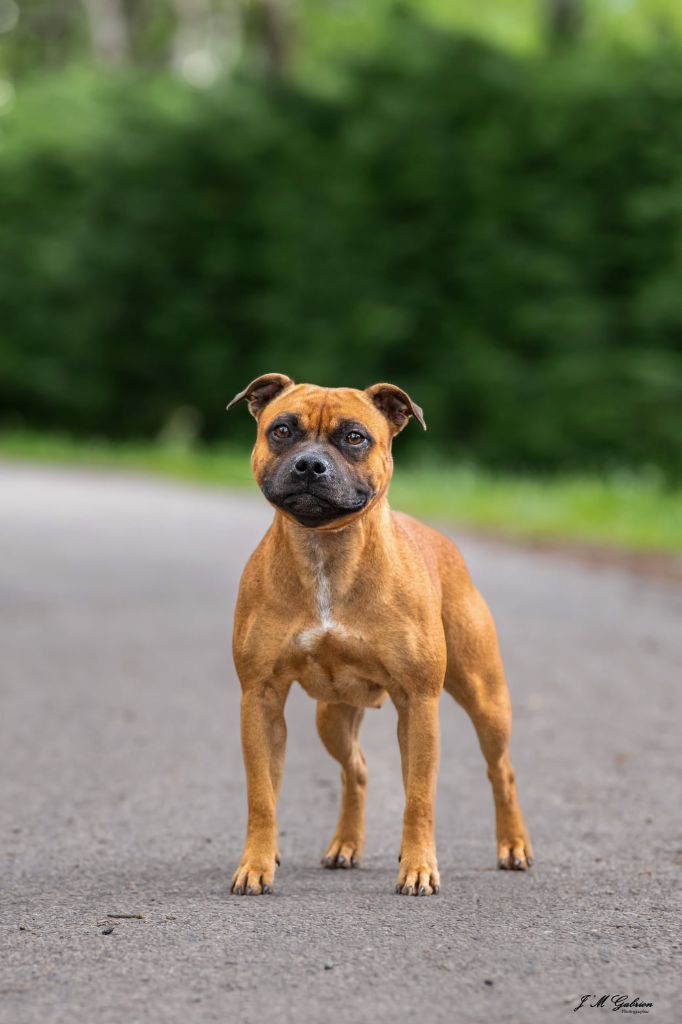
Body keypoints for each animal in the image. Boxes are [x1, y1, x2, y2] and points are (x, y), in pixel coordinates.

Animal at [227, 372, 532, 892]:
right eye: (282, 430)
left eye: (355, 437)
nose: (310, 465)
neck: (326, 548)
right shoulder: (260, 698)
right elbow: (262, 794)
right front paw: (256, 864)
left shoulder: (419, 701)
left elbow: (420, 797)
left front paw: (419, 868)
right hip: (332, 716)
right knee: (357, 770)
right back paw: (345, 845)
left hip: (485, 699)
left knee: (501, 770)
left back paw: (512, 846)